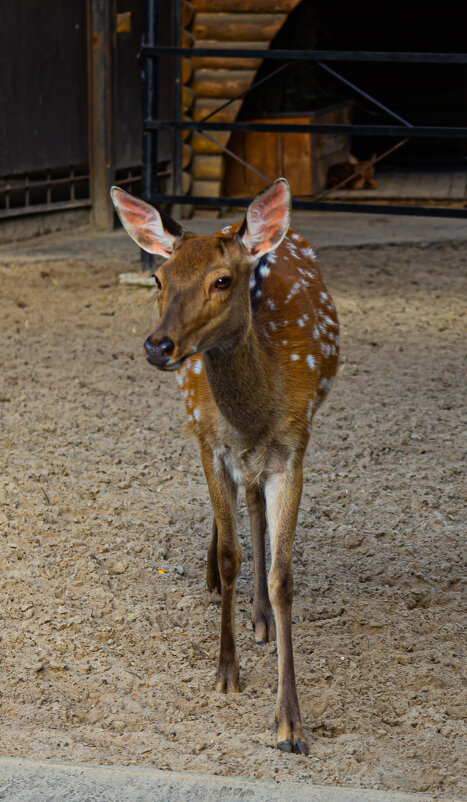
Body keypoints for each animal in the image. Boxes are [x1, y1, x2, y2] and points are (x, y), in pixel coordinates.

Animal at [111, 178, 338, 752]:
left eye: (221, 280)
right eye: (158, 277)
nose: (157, 345)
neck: (258, 408)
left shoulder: (294, 447)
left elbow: (283, 577)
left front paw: (290, 725)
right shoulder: (209, 441)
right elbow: (235, 554)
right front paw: (226, 672)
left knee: (253, 502)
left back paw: (259, 618)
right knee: (235, 511)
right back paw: (214, 572)